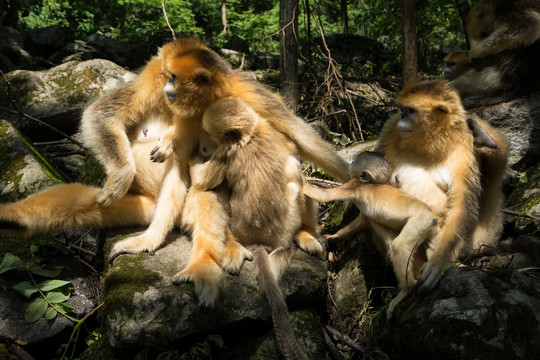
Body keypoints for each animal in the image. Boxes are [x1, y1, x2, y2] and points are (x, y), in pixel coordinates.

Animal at [304, 151, 438, 318]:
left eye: (354, 162)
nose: (350, 165)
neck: (372, 184)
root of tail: (433, 216)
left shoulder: (353, 185)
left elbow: (323, 196)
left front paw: (302, 182)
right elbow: (362, 222)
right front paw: (335, 237)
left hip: (422, 220)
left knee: (399, 245)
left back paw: (406, 290)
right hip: (428, 228)